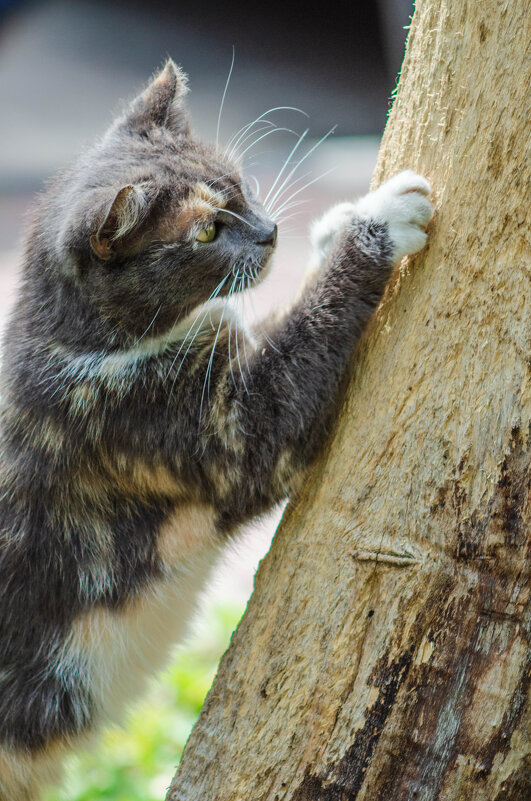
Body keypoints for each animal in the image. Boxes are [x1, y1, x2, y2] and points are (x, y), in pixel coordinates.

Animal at [0, 59, 432, 796]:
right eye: (203, 232)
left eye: (237, 182)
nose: (270, 232)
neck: (75, 342)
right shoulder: (196, 429)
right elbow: (289, 377)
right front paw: (376, 223)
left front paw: (338, 224)